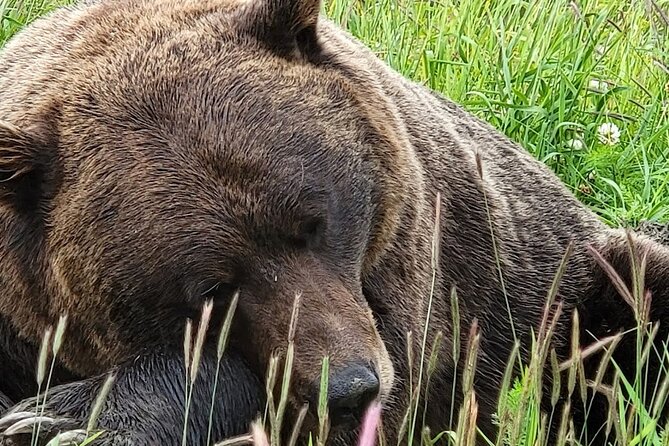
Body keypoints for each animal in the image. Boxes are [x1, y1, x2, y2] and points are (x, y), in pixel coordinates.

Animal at [1, 0, 669, 445]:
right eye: (211, 289)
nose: (350, 387)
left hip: (573, 291)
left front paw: (63, 418)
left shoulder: (415, 271)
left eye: (315, 221)